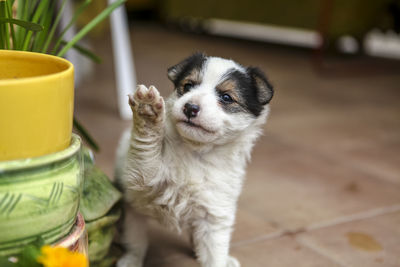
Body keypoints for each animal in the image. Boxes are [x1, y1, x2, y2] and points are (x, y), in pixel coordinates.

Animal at [114, 52, 274, 267]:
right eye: (188, 86)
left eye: (226, 97)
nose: (190, 107)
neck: (195, 152)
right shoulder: (143, 180)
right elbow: (146, 151)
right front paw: (147, 110)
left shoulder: (214, 216)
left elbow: (214, 254)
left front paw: (219, 259)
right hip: (132, 214)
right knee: (135, 243)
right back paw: (131, 260)